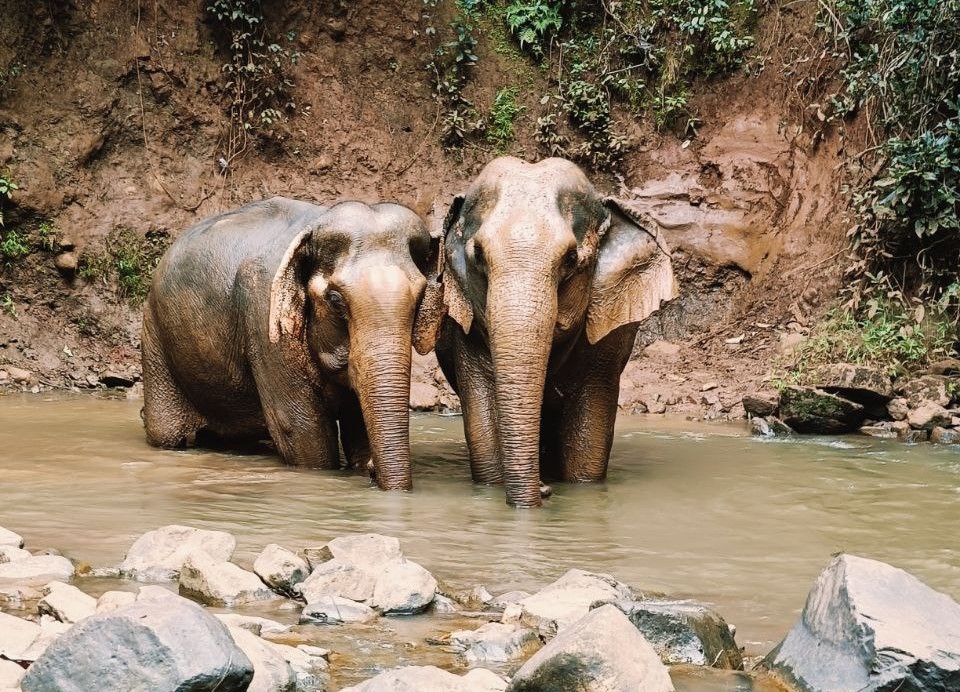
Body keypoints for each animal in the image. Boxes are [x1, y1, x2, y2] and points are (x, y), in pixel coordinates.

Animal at [141, 196, 441, 491]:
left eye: (420, 298)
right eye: (335, 300)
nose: (371, 472)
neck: (316, 221)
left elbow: (356, 427)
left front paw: (362, 461)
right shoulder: (264, 315)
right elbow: (300, 430)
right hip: (154, 333)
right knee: (166, 433)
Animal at [435, 157, 677, 507]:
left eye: (571, 259)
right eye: (478, 255)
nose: (545, 490)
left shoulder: (606, 337)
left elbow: (589, 435)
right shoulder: (464, 329)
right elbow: (483, 426)